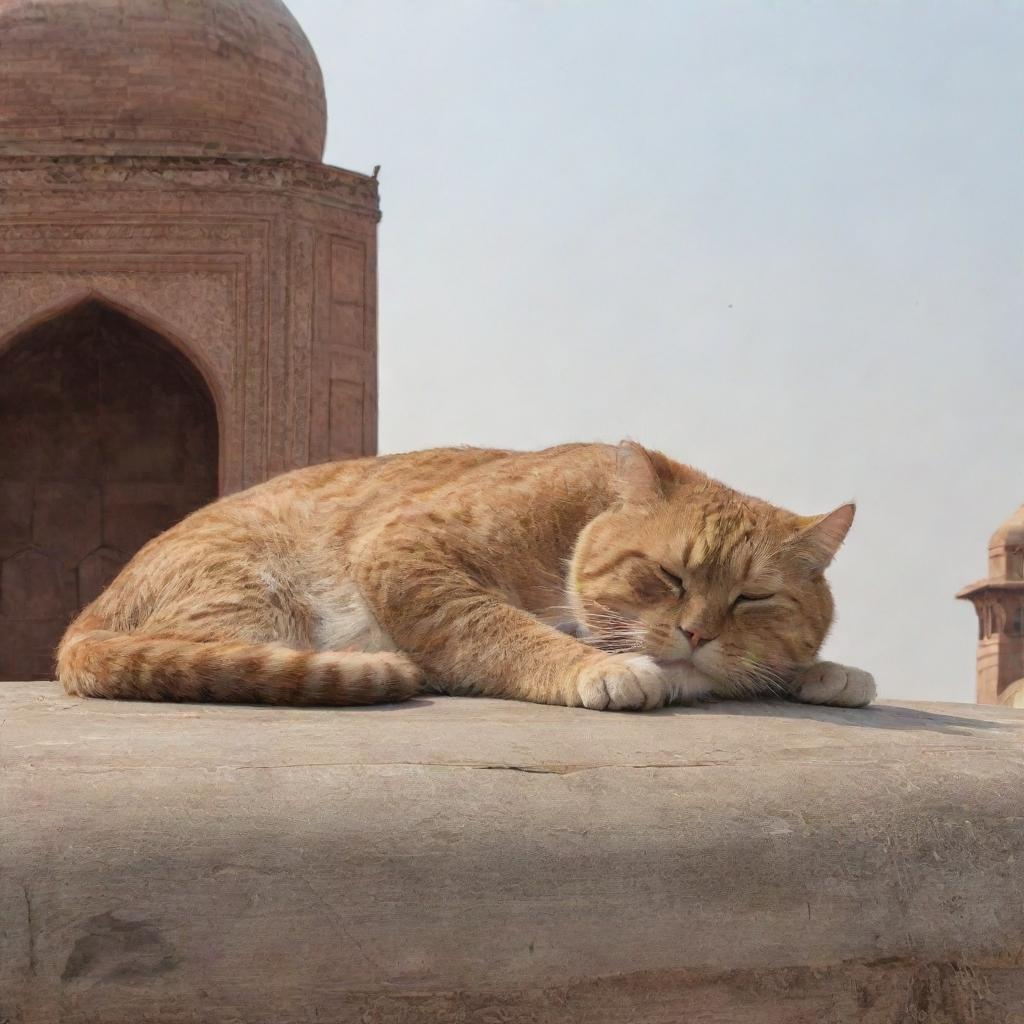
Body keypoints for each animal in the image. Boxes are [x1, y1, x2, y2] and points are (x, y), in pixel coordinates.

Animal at [56, 440, 876, 712]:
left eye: (754, 598)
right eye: (668, 576)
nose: (697, 633)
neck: (580, 517)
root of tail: (82, 622)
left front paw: (828, 671)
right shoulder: (404, 549)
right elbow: (497, 626)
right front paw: (601, 668)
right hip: (255, 597)